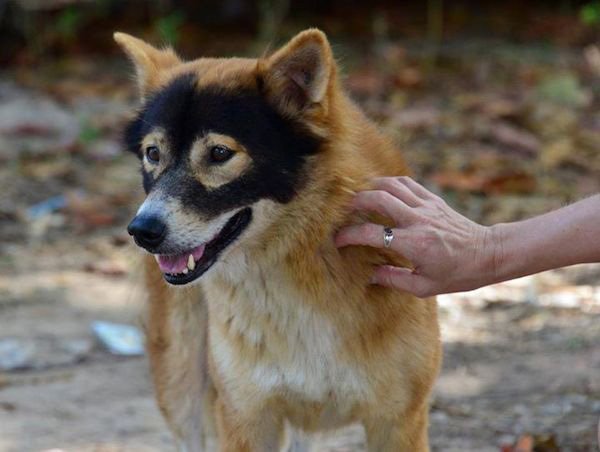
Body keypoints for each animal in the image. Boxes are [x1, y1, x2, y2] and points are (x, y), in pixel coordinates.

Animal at [116, 29, 440, 452]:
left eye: (219, 153)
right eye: (153, 153)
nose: (142, 230)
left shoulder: (399, 422)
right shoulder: (245, 418)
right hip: (180, 380)